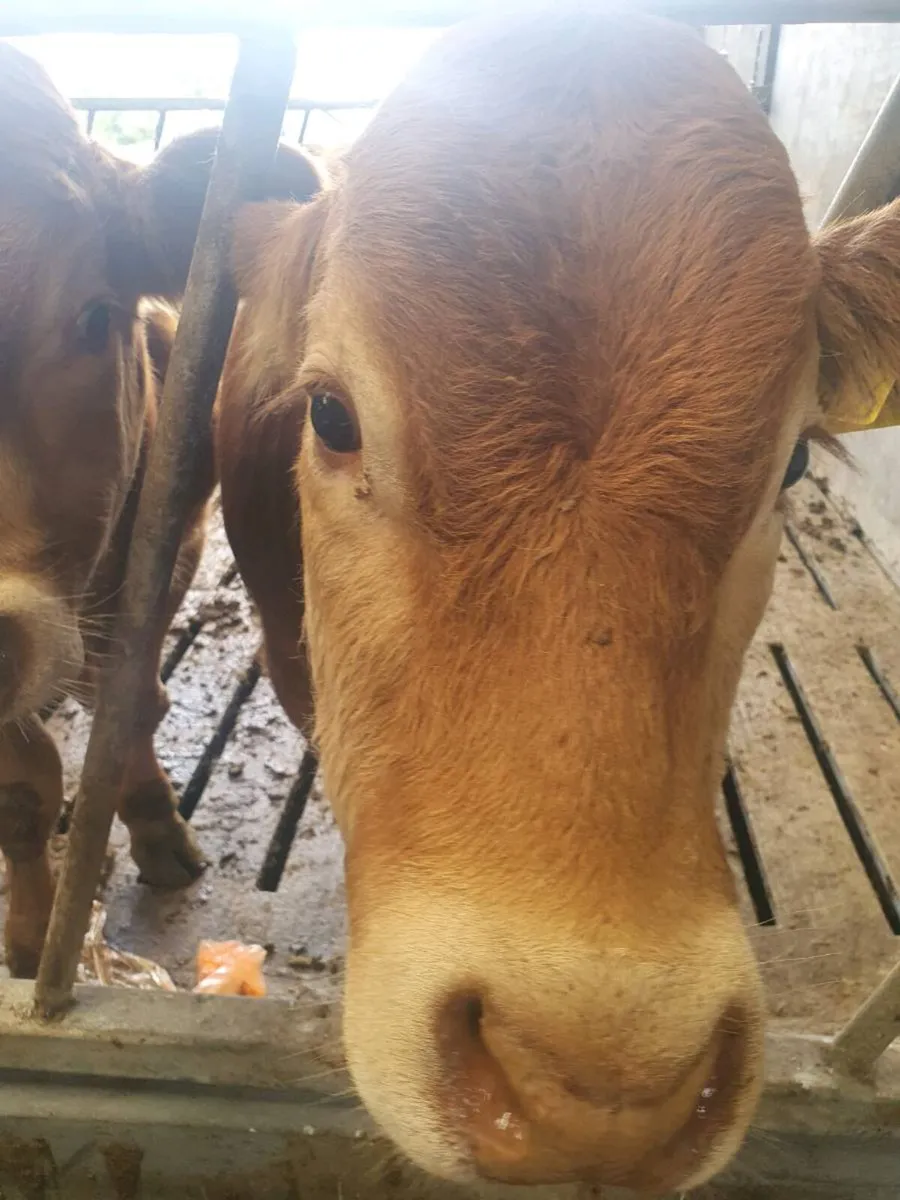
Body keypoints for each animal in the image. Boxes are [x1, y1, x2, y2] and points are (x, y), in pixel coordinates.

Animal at [0, 43, 320, 978]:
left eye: (93, 315)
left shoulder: (170, 547)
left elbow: (130, 703)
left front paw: (154, 826)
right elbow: (22, 792)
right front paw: (30, 940)